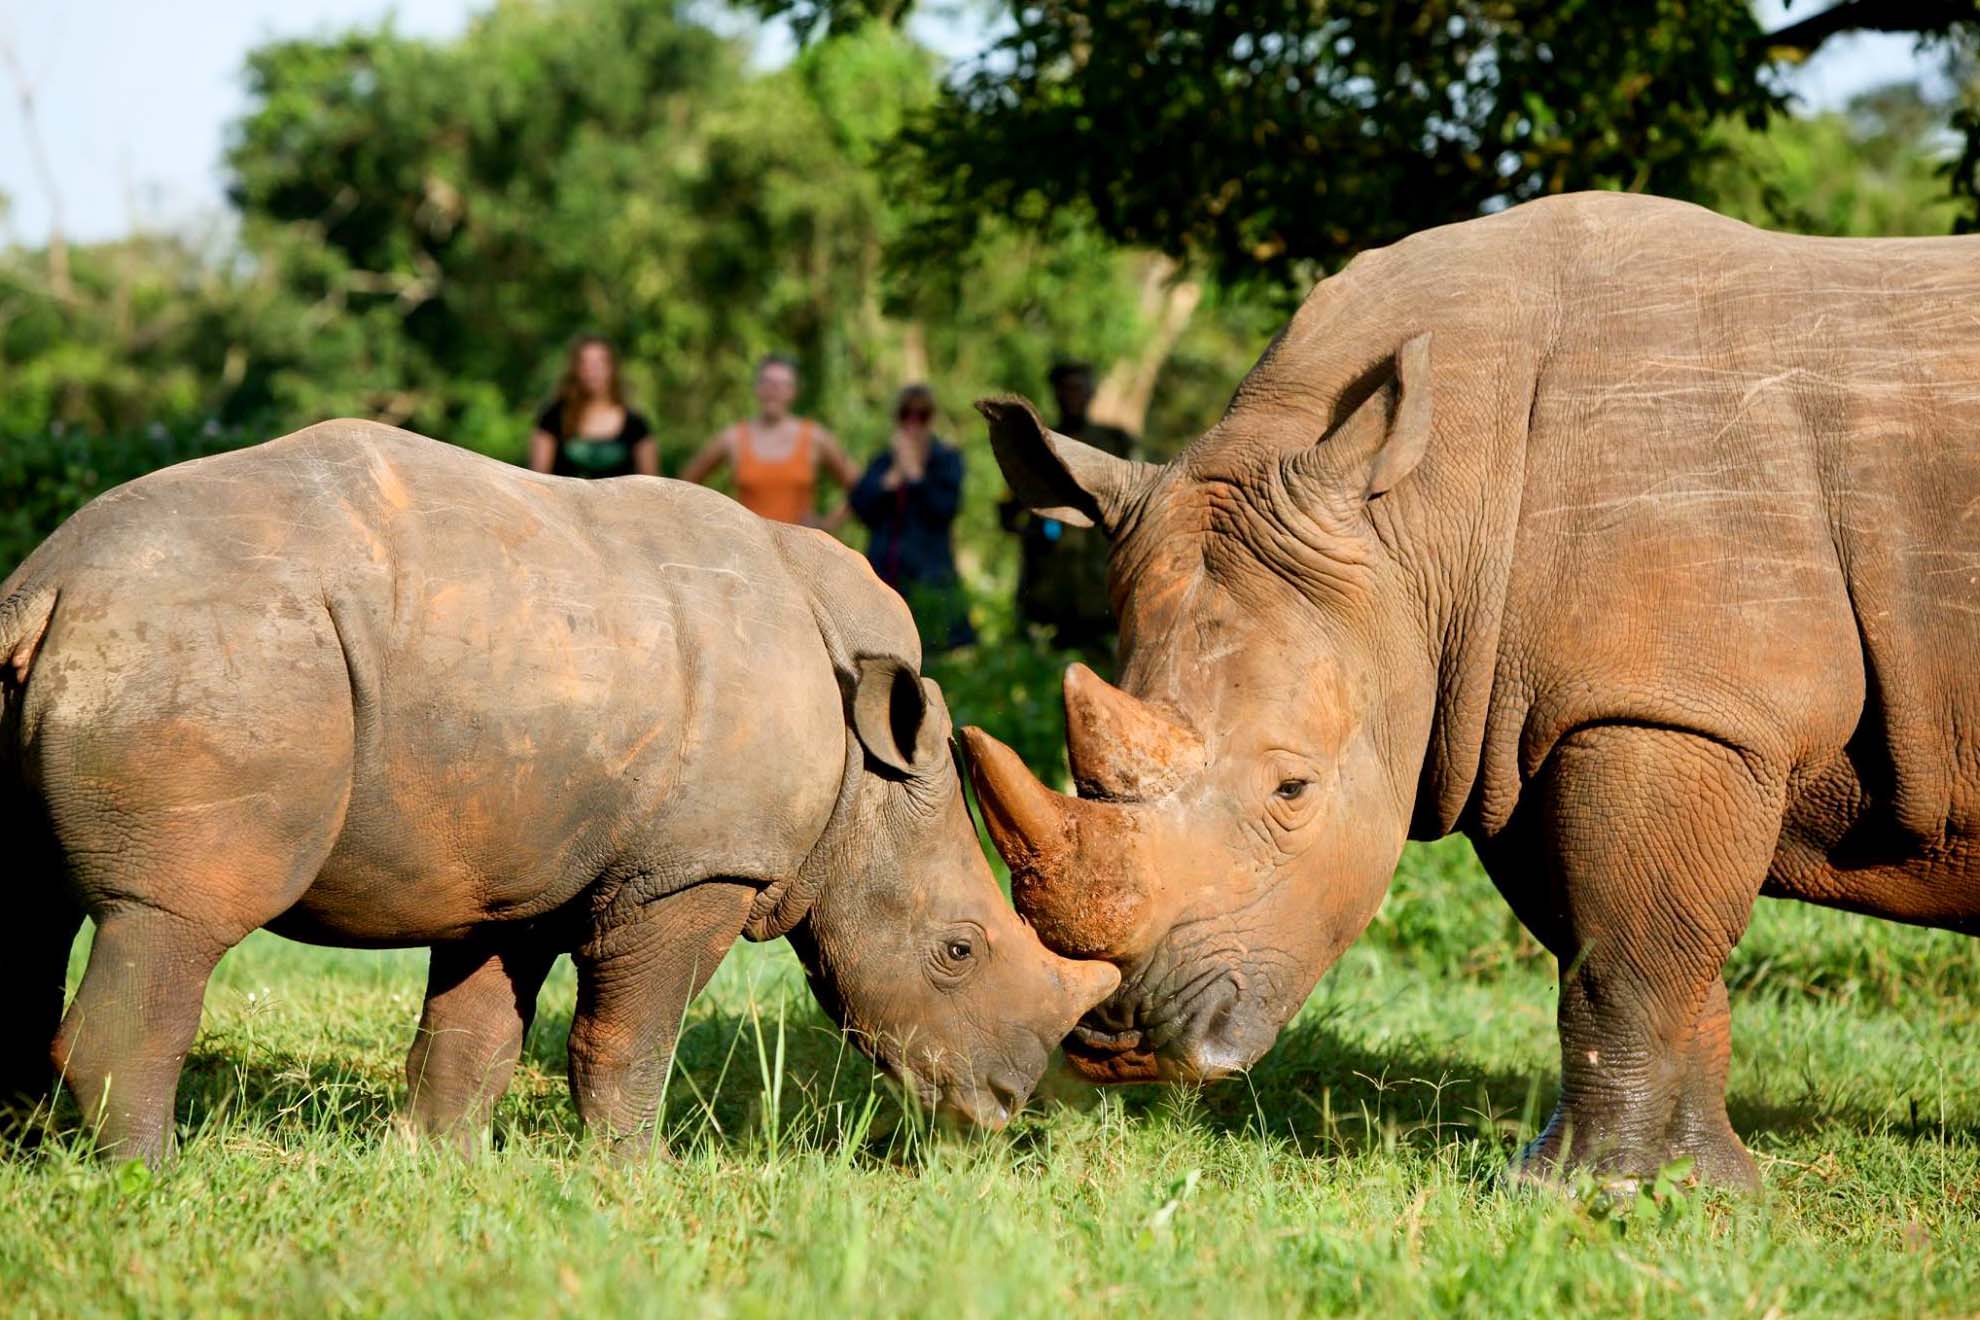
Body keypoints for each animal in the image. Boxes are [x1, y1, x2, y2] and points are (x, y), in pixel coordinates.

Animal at [0, 422, 1117, 1161]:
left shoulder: (524, 857)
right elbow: (628, 1038)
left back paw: (34, 1159)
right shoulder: (694, 870)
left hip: (138, 643)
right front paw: (639, 1182)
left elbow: (475, 1031)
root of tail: (51, 583)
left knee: (32, 911)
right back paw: (147, 1179)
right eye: (958, 950)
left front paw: (436, 1169)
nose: (1005, 1104)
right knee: (169, 921)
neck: (867, 788)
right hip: (219, 652)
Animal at [964, 191, 1980, 1188]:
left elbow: (1629, 959)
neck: (1422, 519)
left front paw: (1595, 1192)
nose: (1116, 1043)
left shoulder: (1679, 706)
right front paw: (1688, 1189)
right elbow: (1623, 948)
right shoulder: (1529, 719)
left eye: (1293, 790)